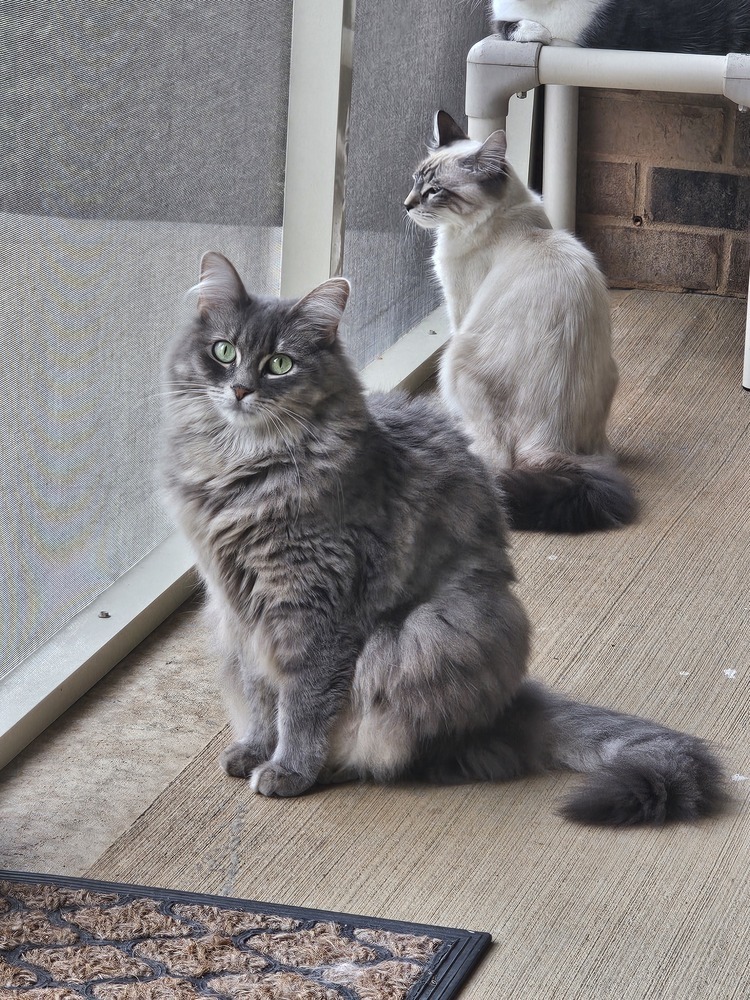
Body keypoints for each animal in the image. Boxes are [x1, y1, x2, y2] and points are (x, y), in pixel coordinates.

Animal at [160, 252, 728, 828]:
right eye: (224, 352)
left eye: (280, 364)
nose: (240, 390)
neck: (243, 470)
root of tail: (509, 700)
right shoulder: (239, 611)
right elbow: (260, 696)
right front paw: (256, 748)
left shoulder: (316, 611)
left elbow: (302, 704)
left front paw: (287, 768)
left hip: (425, 635)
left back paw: (339, 766)